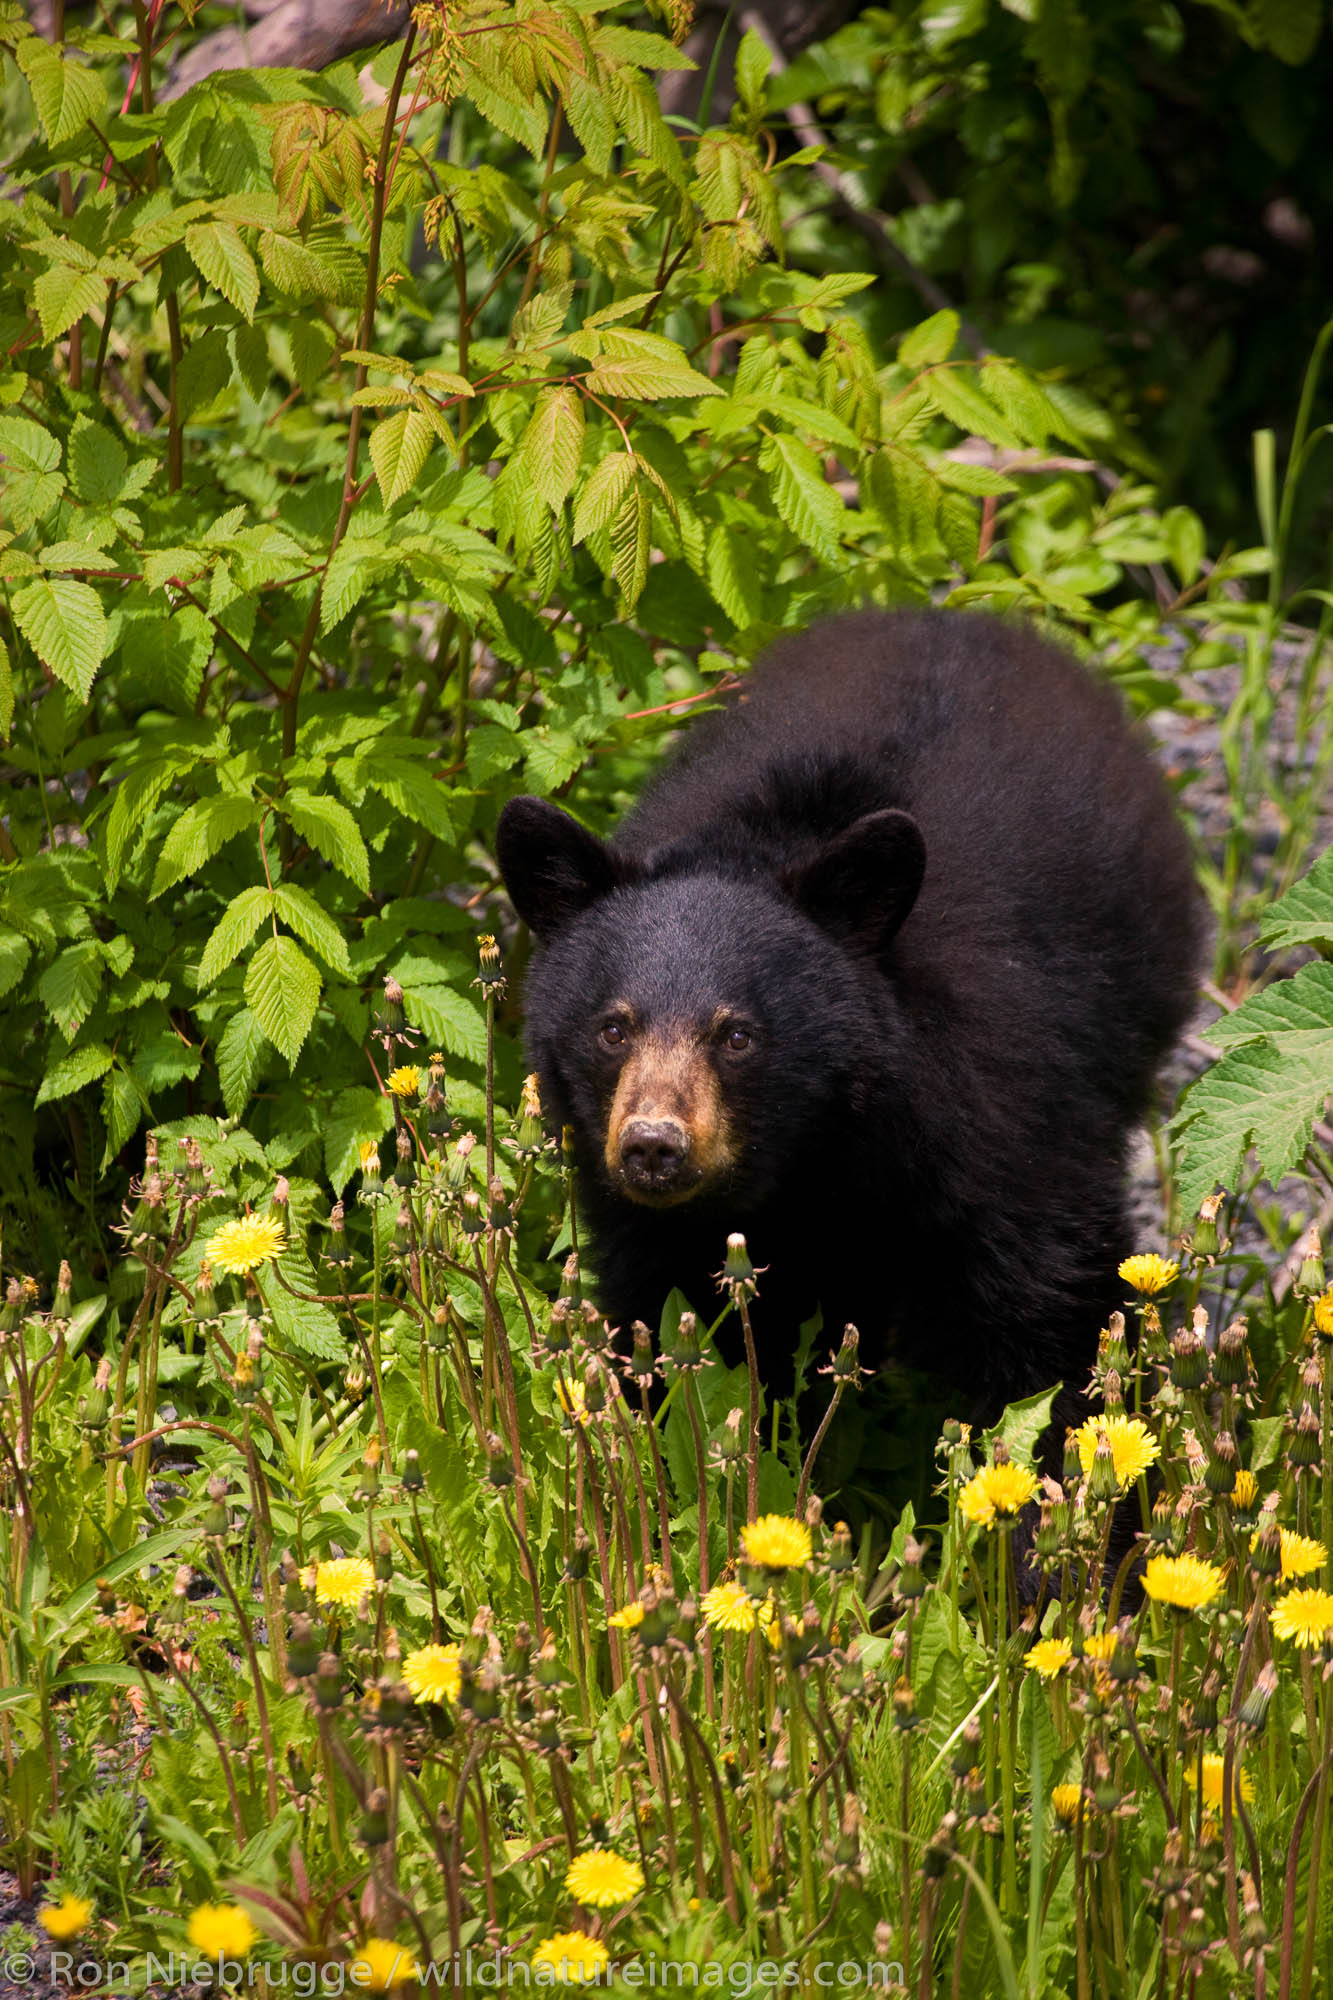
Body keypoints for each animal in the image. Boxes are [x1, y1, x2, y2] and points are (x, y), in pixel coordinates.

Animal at [492, 608, 1200, 1440]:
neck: (819, 1149)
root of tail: (958, 617)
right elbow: (675, 1325)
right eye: (612, 1028)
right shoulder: (660, 1225)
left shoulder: (1003, 1117)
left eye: (737, 1035)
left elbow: (1053, 1313)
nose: (653, 1148)